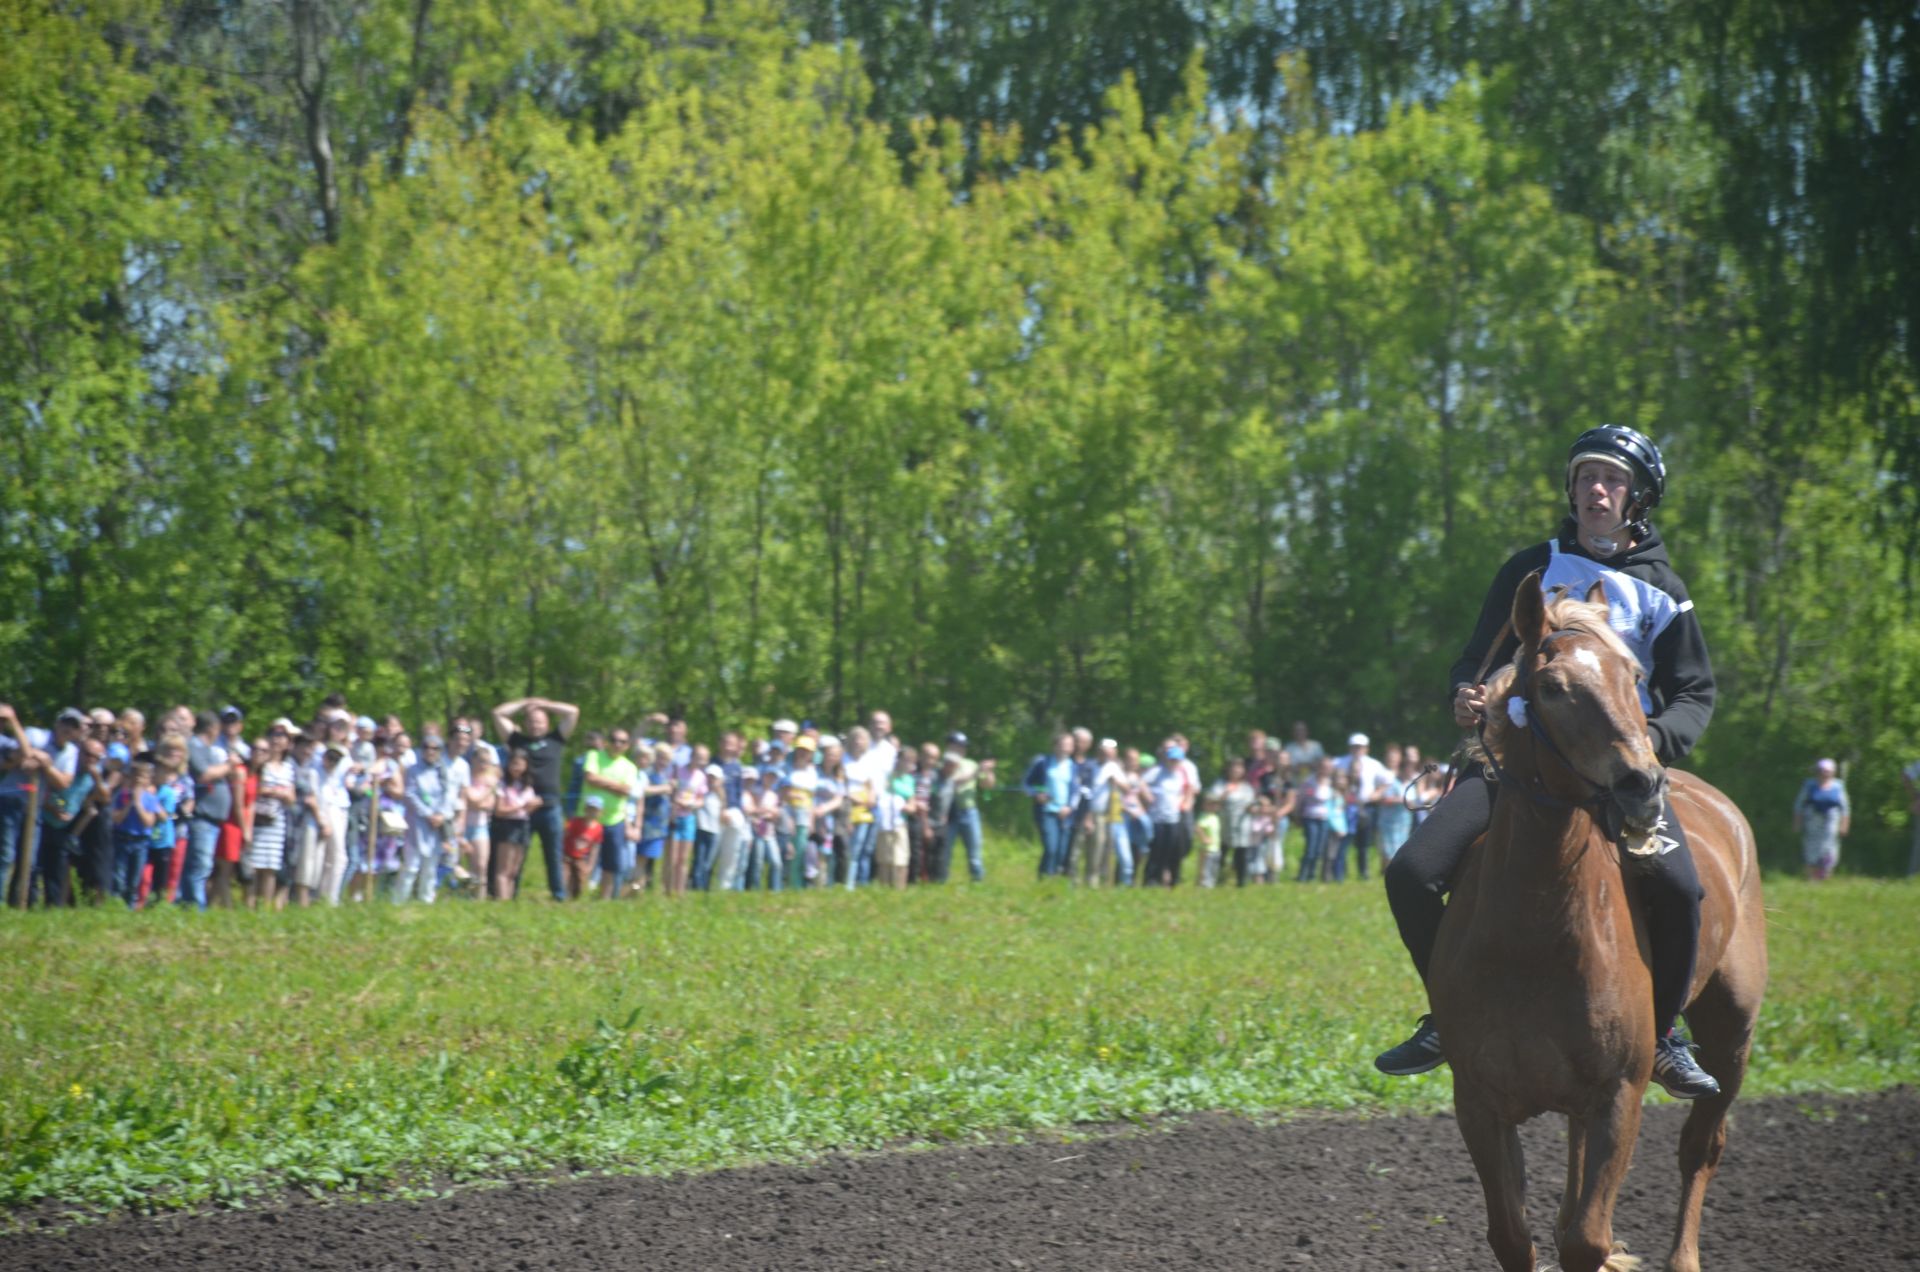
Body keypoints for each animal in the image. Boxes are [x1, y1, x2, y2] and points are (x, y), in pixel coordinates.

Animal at [1428, 576, 1766, 1272]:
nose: (1642, 784)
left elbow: (1586, 1238)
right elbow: (1515, 1237)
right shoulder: (1479, 1100)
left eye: (1633, 674)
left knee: (1701, 1148)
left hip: (1732, 1034)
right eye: (1553, 687)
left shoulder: (1618, 1095)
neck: (1534, 930)